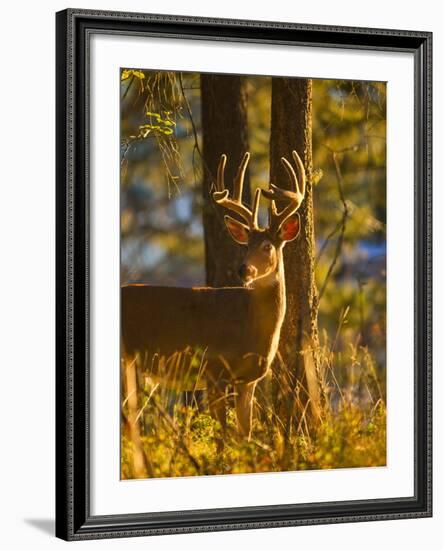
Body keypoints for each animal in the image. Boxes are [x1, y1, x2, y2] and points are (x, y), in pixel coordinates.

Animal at [123, 151, 306, 444]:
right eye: (246, 245)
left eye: (267, 246)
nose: (244, 269)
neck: (251, 328)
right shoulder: (214, 370)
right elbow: (222, 434)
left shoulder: (248, 381)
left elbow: (244, 433)